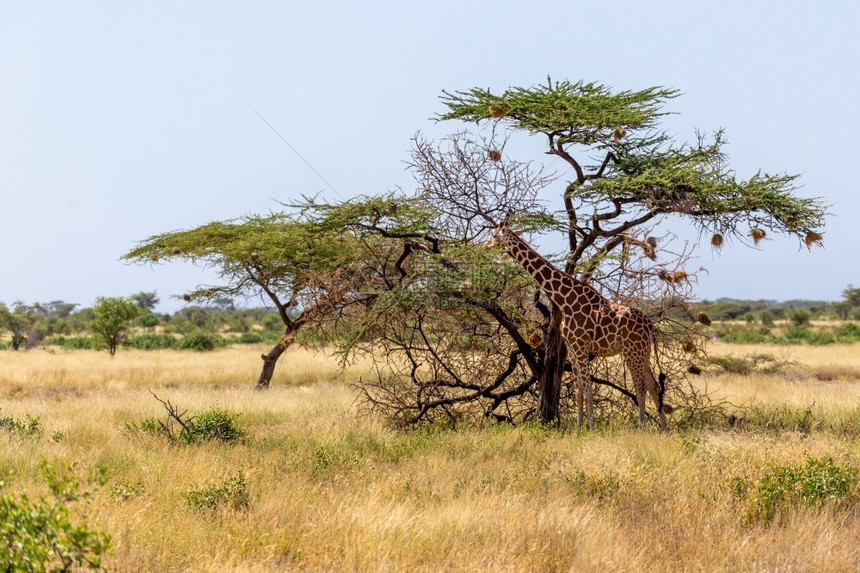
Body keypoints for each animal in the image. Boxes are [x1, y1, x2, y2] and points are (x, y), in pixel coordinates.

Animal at [488, 219, 668, 428]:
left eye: (494, 235)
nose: (485, 246)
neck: (565, 299)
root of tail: (650, 325)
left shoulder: (581, 347)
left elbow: (588, 389)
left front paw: (592, 426)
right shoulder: (572, 349)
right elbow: (579, 390)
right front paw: (579, 427)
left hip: (632, 351)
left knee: (640, 387)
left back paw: (641, 427)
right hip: (643, 352)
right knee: (654, 385)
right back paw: (664, 429)